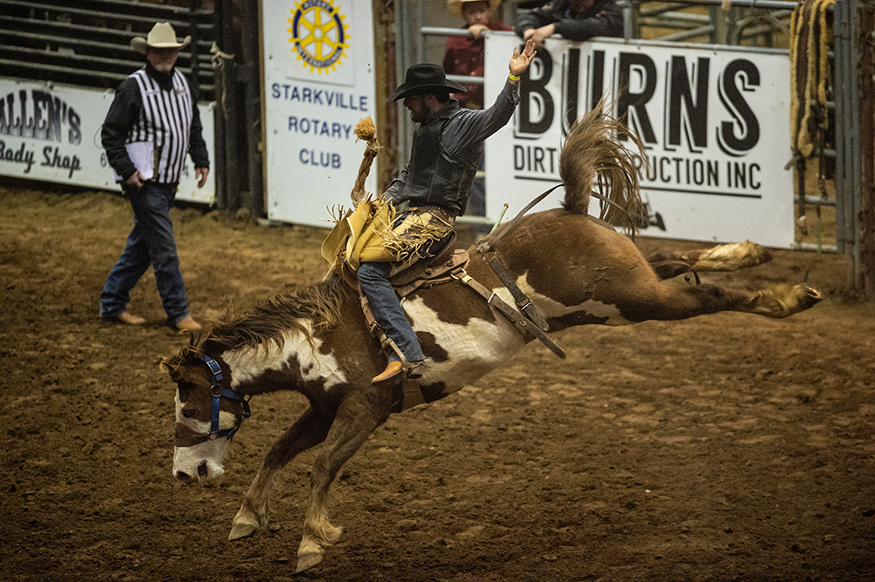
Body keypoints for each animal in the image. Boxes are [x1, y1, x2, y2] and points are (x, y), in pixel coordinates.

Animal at [163, 108, 820, 576]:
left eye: (188, 404)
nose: (184, 476)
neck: (316, 339)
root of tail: (569, 209)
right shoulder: (324, 409)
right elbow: (280, 450)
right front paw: (247, 518)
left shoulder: (366, 407)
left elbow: (323, 464)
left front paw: (311, 543)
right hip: (620, 294)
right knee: (675, 262)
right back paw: (748, 254)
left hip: (635, 300)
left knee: (704, 295)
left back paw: (788, 297)